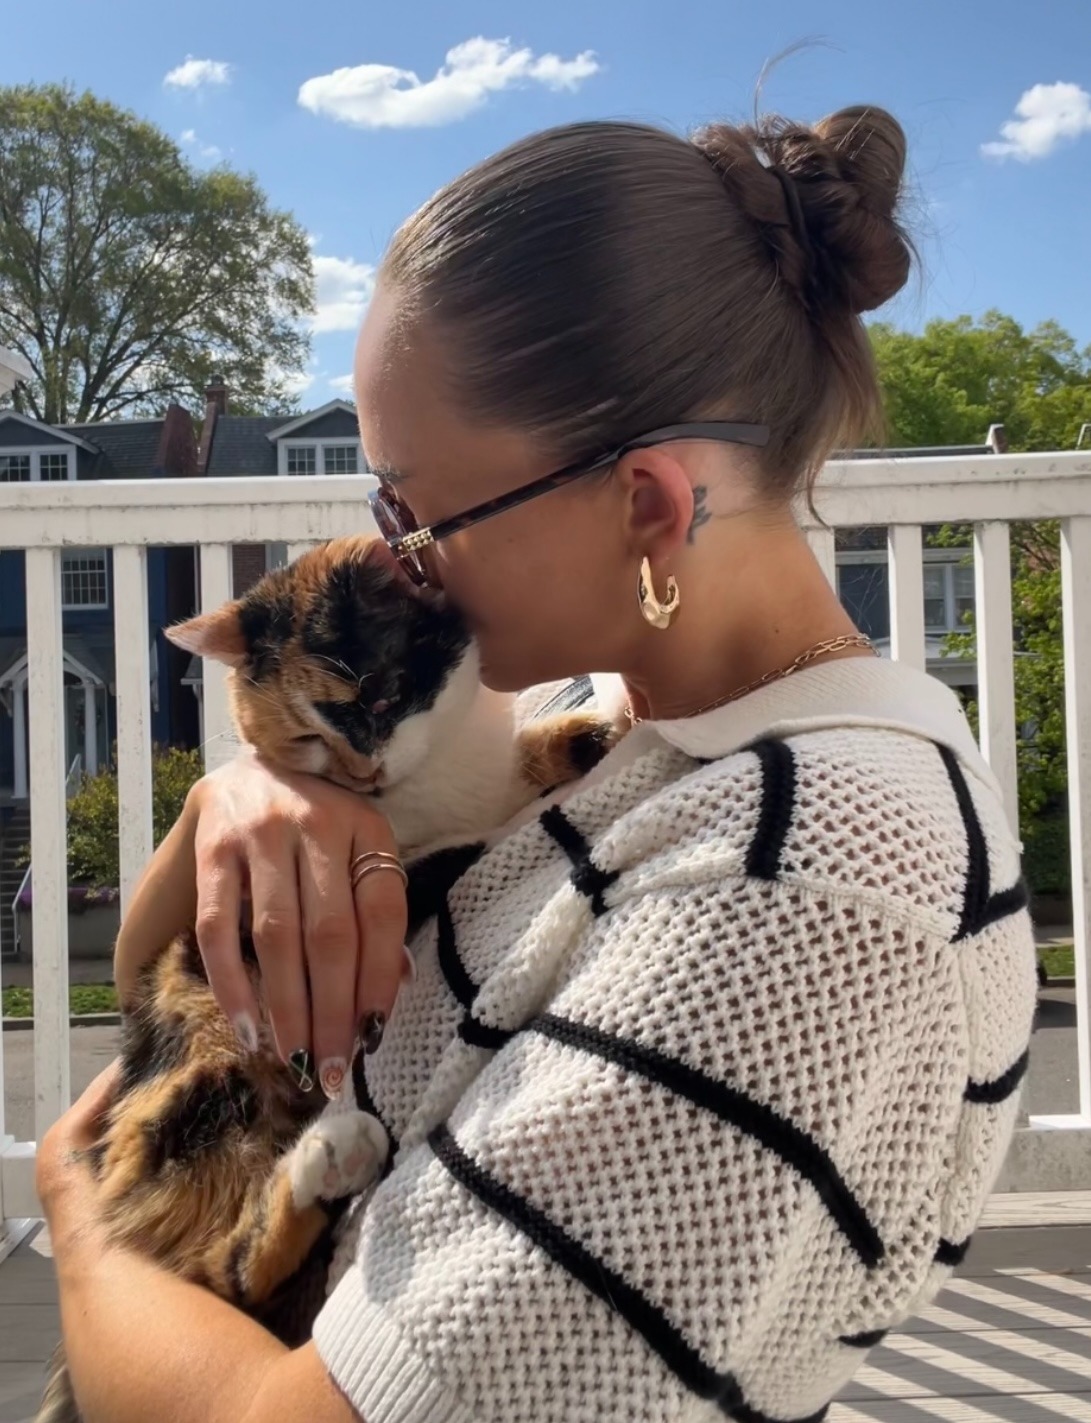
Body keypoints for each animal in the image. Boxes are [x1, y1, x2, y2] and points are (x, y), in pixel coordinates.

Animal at [36, 533, 620, 1423]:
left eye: (374, 695)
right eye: (306, 738)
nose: (363, 775)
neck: (437, 778)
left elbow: (527, 758)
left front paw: (594, 730)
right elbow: (432, 861)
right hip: (197, 1080)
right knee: (224, 1268)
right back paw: (331, 1157)